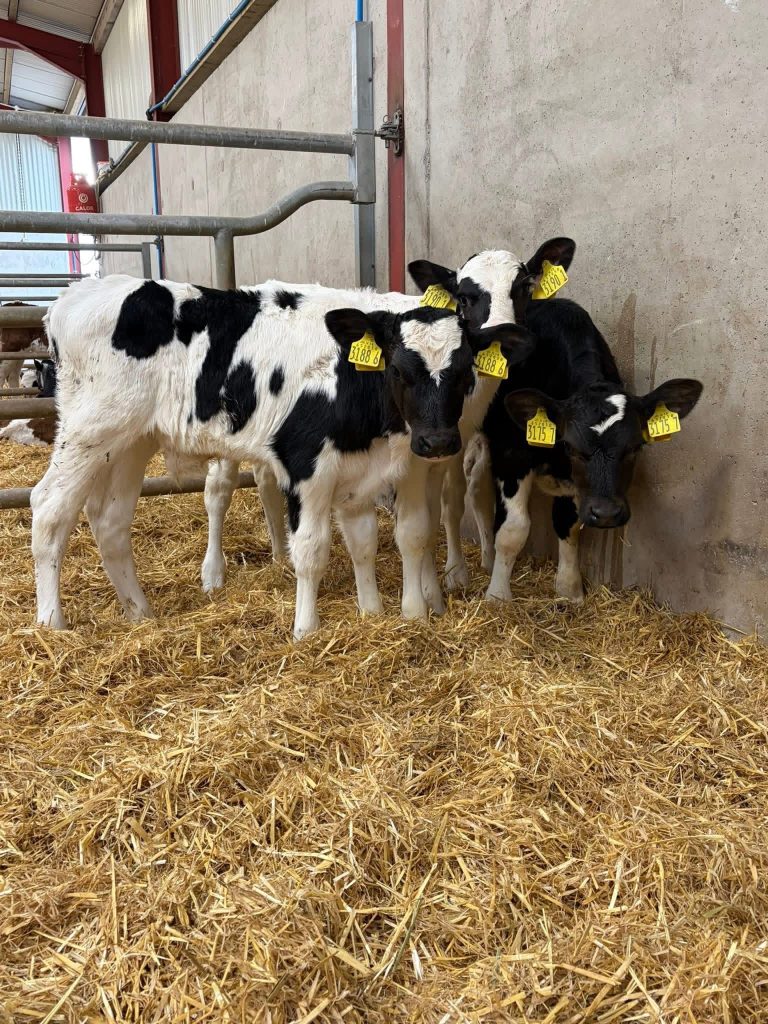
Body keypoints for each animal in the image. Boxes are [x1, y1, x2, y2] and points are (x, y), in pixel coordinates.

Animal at [32, 275, 533, 638]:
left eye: (465, 371)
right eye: (398, 369)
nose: (438, 442)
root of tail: (74, 295)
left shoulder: (381, 468)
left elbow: (385, 539)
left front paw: (385, 615)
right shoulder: (305, 465)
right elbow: (311, 550)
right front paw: (306, 630)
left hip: (130, 441)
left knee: (109, 520)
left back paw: (139, 612)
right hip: (88, 431)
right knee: (49, 509)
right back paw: (51, 624)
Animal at [463, 297, 703, 603]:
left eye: (635, 447)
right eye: (570, 446)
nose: (607, 513)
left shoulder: (576, 484)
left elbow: (568, 523)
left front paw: (569, 590)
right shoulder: (512, 454)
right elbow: (513, 529)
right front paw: (498, 596)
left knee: (476, 486)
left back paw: (487, 558)